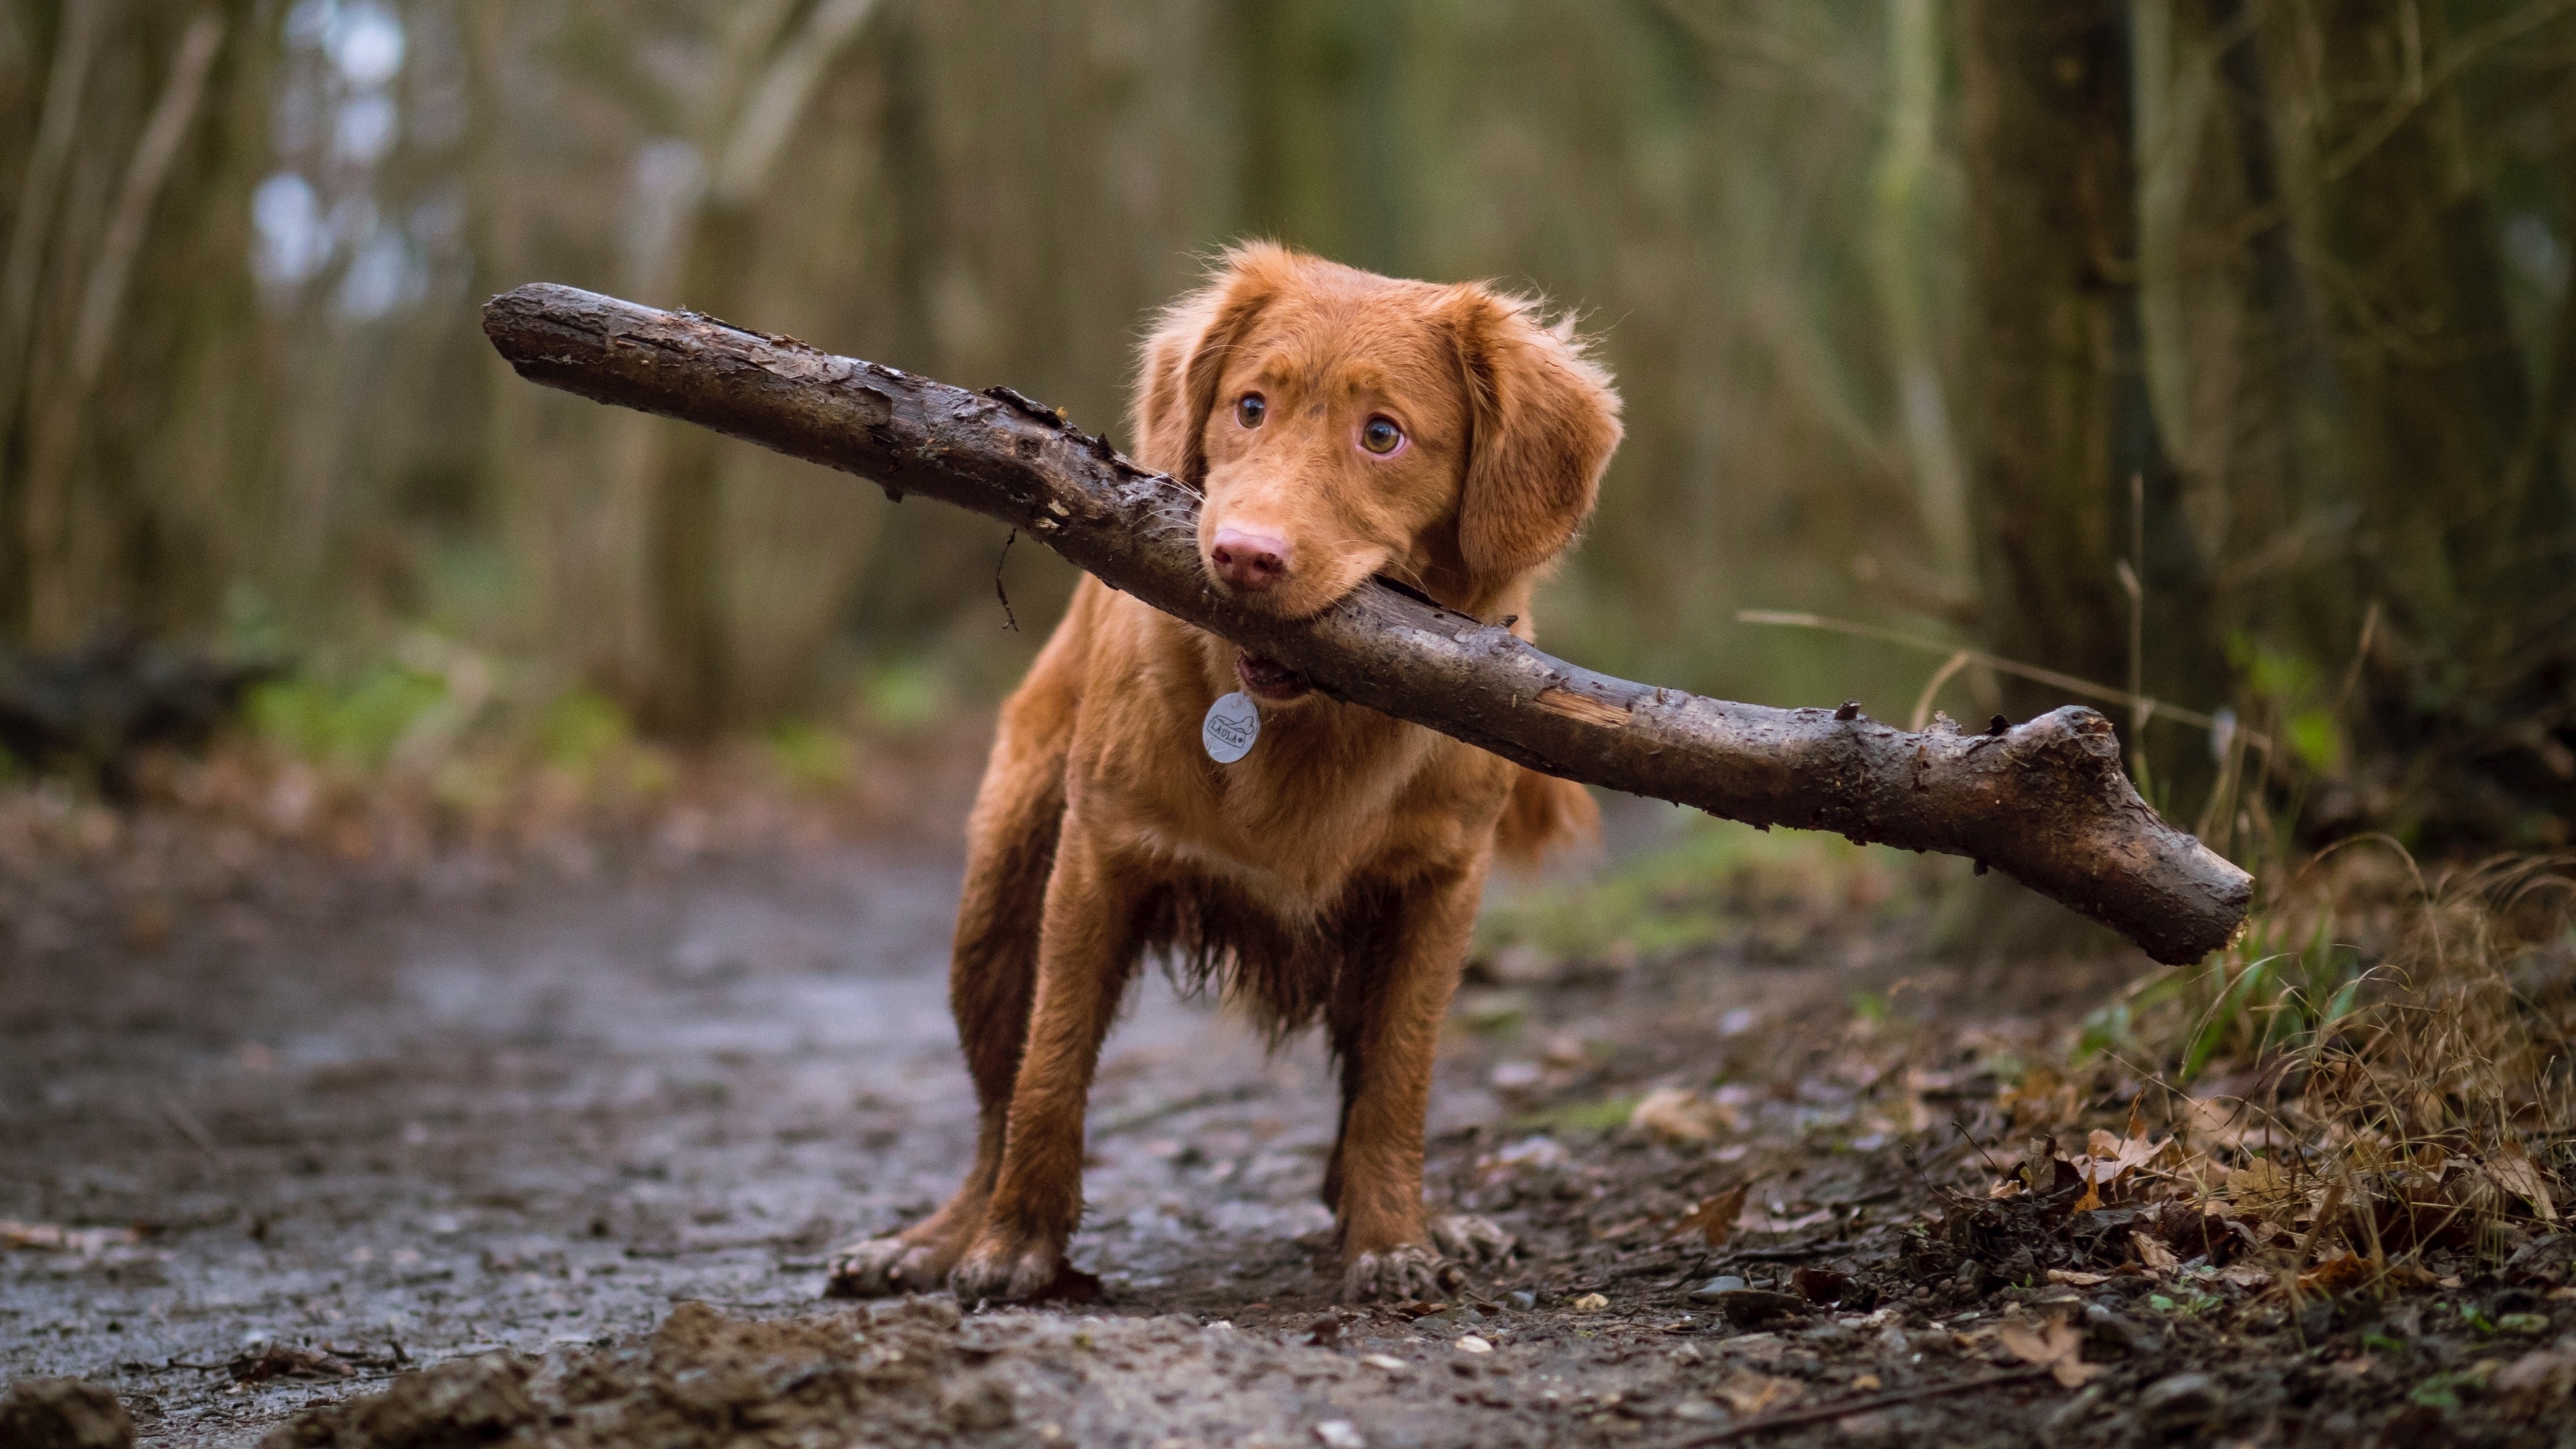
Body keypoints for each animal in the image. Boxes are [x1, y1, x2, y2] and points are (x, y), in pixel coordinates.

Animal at [835, 242, 1618, 1304]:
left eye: (1383, 435)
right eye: (1251, 407)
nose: (1244, 556)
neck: (1309, 723)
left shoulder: (1438, 888)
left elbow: (1397, 1079)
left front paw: (1393, 1237)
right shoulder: (1097, 858)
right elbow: (1050, 1067)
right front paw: (1015, 1244)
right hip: (997, 901)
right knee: (996, 1100)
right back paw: (939, 1237)